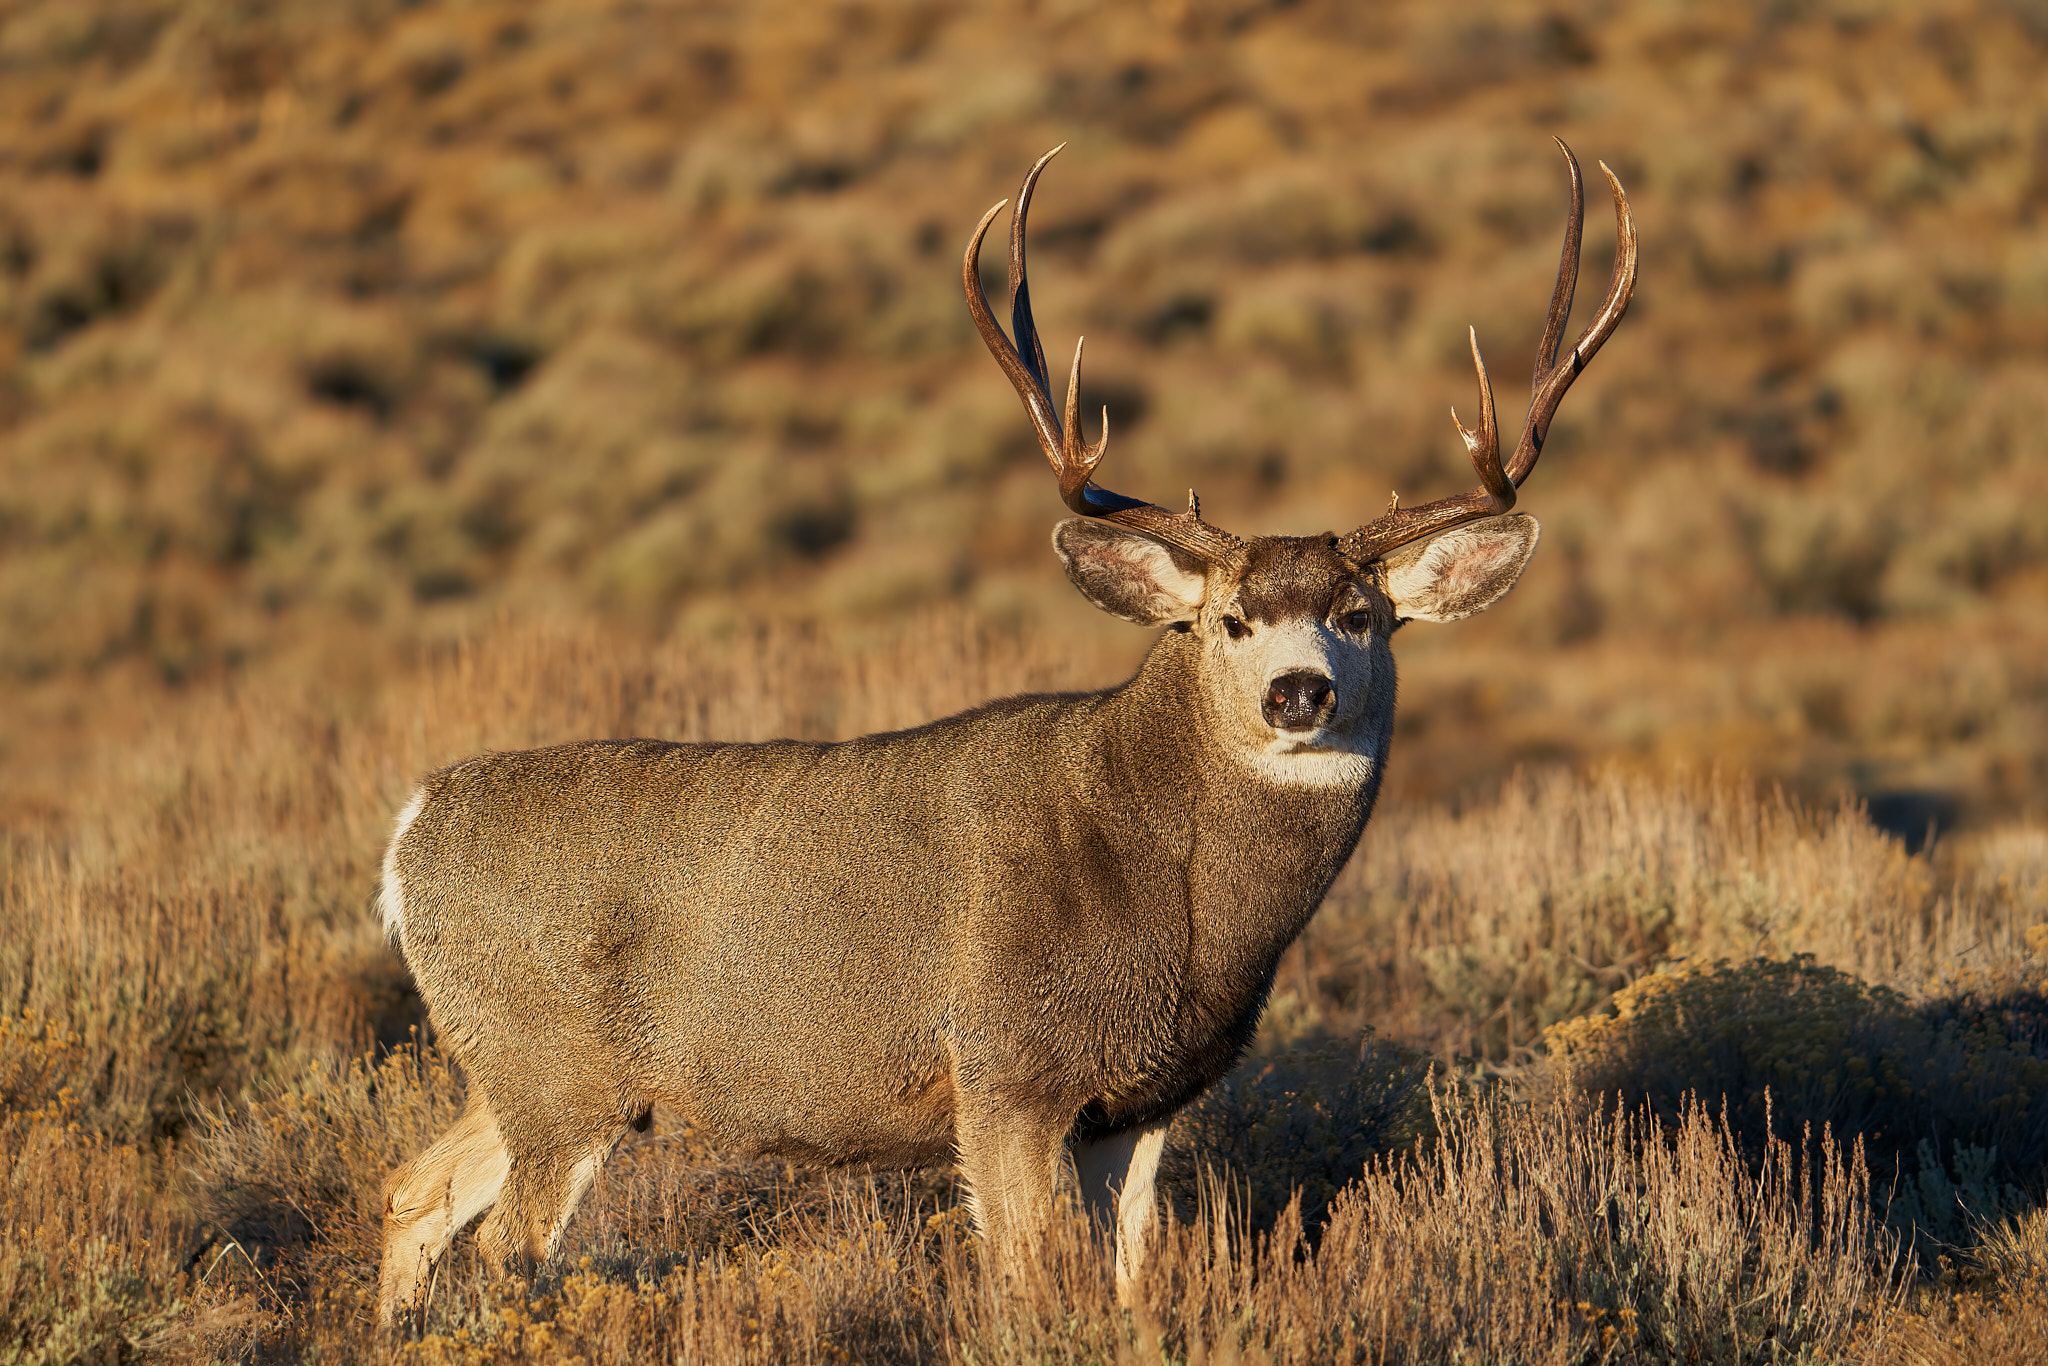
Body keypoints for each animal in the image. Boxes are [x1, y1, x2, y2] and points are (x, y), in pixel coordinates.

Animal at [374, 140, 1636, 1325]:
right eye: (1226, 619)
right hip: (554, 1068)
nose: (1298, 693)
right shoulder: (1002, 1068)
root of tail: (410, 826)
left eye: (1359, 616)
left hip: (510, 1065)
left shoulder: (1136, 1102)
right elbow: (1031, 1280)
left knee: (412, 1191)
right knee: (506, 1247)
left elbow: (1128, 1275)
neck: (1174, 889)